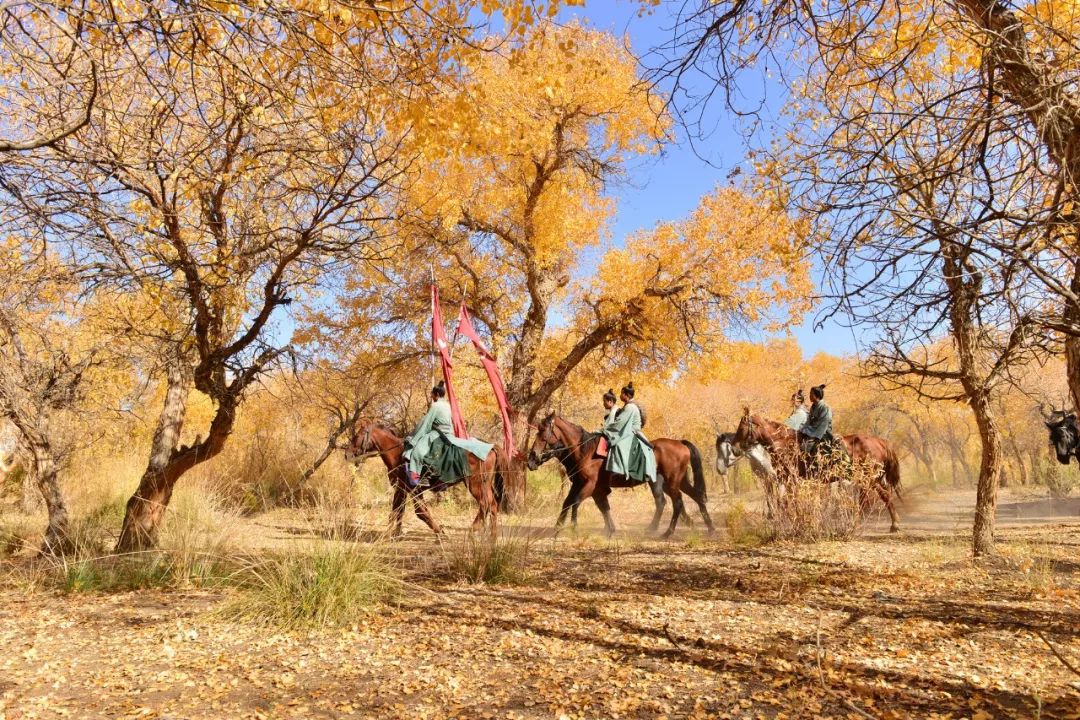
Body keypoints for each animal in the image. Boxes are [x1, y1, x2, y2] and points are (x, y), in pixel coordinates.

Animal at [343, 418, 503, 537]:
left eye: (356, 436)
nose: (347, 454)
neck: (397, 454)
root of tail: (491, 447)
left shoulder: (413, 489)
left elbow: (420, 512)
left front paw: (440, 533)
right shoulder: (402, 489)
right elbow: (397, 511)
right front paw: (393, 534)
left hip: (476, 485)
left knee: (485, 505)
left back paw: (473, 531)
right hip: (484, 485)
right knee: (492, 505)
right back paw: (492, 537)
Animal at [524, 414, 712, 537]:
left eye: (543, 433)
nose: (532, 458)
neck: (585, 451)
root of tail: (680, 443)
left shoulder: (589, 485)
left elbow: (576, 503)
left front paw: (574, 528)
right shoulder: (586, 486)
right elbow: (580, 504)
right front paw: (559, 527)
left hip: (672, 482)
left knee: (677, 502)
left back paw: (668, 532)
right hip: (674, 482)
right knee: (691, 497)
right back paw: (708, 527)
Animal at [734, 408, 902, 533]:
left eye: (741, 427)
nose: (735, 449)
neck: (783, 443)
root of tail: (880, 441)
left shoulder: (789, 479)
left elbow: (789, 501)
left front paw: (797, 522)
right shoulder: (784, 480)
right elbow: (785, 501)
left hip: (867, 479)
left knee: (868, 499)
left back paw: (855, 524)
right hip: (873, 479)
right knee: (883, 496)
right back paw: (893, 524)